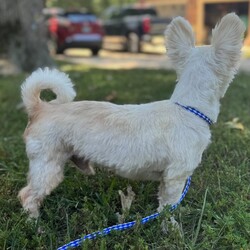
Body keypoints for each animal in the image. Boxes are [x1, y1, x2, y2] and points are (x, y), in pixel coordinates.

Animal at [18, 13, 245, 218]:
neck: (187, 108)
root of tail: (40, 108)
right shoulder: (176, 176)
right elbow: (169, 207)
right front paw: (172, 229)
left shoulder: (166, 179)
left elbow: (162, 203)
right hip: (47, 166)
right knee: (27, 195)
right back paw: (35, 224)